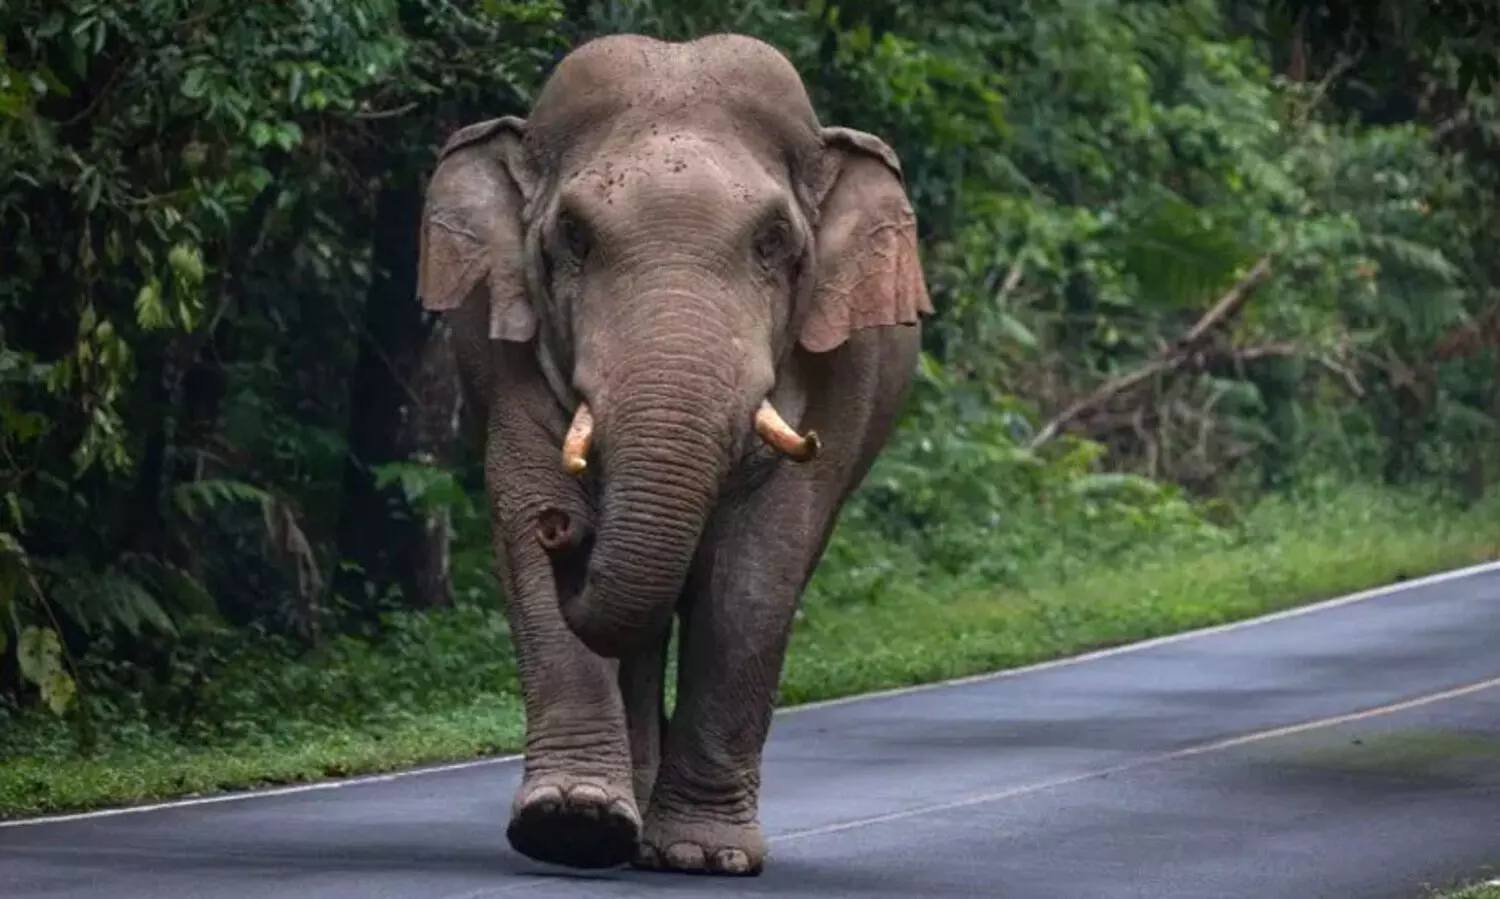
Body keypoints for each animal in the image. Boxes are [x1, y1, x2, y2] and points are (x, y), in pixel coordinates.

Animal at [414, 33, 933, 876]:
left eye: (774, 243)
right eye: (572, 238)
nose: (568, 531)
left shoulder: (836, 375)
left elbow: (757, 571)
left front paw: (700, 854)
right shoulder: (507, 347)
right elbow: (523, 506)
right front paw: (572, 824)